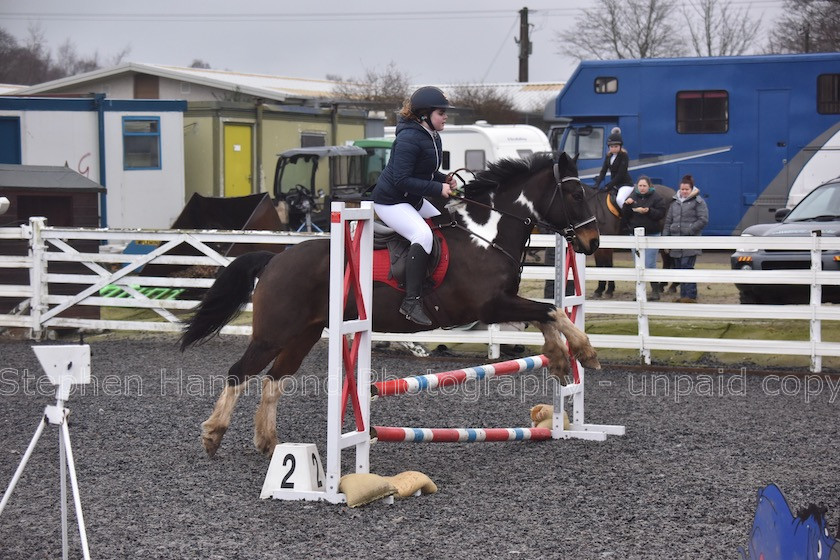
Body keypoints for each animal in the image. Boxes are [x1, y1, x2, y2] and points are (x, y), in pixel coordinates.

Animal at [182, 151, 604, 458]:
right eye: (575, 195)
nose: (593, 242)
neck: (485, 234)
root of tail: (275, 259)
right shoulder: (490, 307)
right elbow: (550, 310)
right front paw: (582, 352)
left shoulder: (503, 304)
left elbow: (548, 313)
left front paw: (563, 360)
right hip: (273, 332)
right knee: (240, 373)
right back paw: (213, 434)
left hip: (304, 334)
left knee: (274, 380)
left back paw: (268, 442)